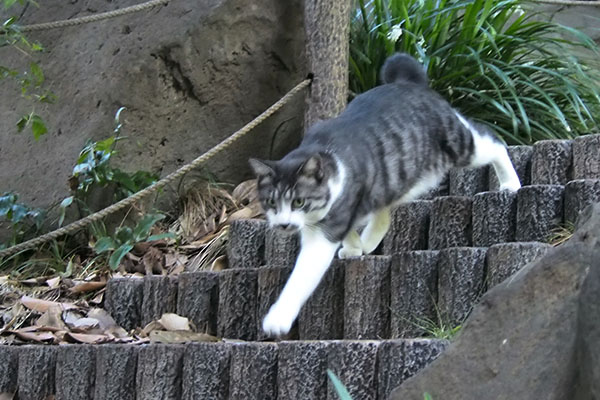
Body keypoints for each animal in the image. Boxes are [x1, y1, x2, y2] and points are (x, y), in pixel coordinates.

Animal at [248, 51, 520, 336]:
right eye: (271, 202)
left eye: (299, 201)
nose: (283, 224)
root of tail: (411, 84)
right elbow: (354, 227)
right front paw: (354, 247)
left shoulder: (328, 225)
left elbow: (302, 274)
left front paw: (277, 318)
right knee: (384, 213)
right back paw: (367, 241)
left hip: (459, 144)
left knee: (494, 142)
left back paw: (510, 182)